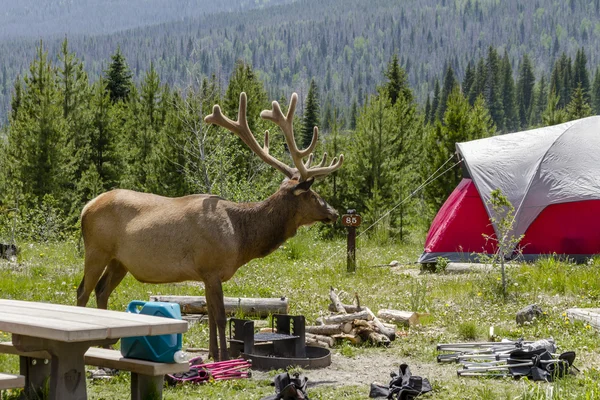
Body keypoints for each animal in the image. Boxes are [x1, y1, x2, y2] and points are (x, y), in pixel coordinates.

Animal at [77, 92, 344, 360]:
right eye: (313, 195)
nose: (334, 212)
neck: (241, 237)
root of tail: (85, 208)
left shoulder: (205, 273)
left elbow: (212, 315)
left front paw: (213, 354)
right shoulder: (213, 267)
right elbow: (220, 316)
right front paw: (225, 357)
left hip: (120, 260)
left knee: (102, 290)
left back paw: (107, 346)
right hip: (97, 250)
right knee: (83, 291)